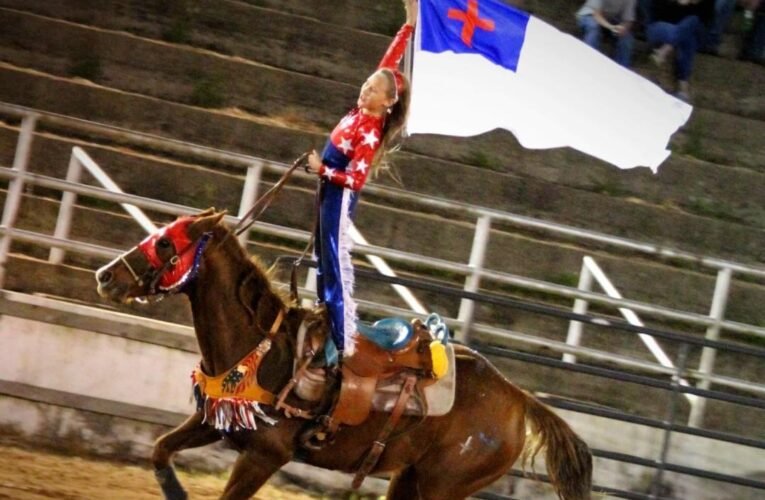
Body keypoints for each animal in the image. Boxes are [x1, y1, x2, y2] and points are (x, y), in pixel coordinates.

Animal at [95, 211, 592, 500]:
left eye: (165, 242)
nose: (104, 275)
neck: (263, 349)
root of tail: (518, 397)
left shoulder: (264, 456)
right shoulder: (213, 422)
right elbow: (160, 450)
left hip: (444, 485)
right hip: (409, 477)